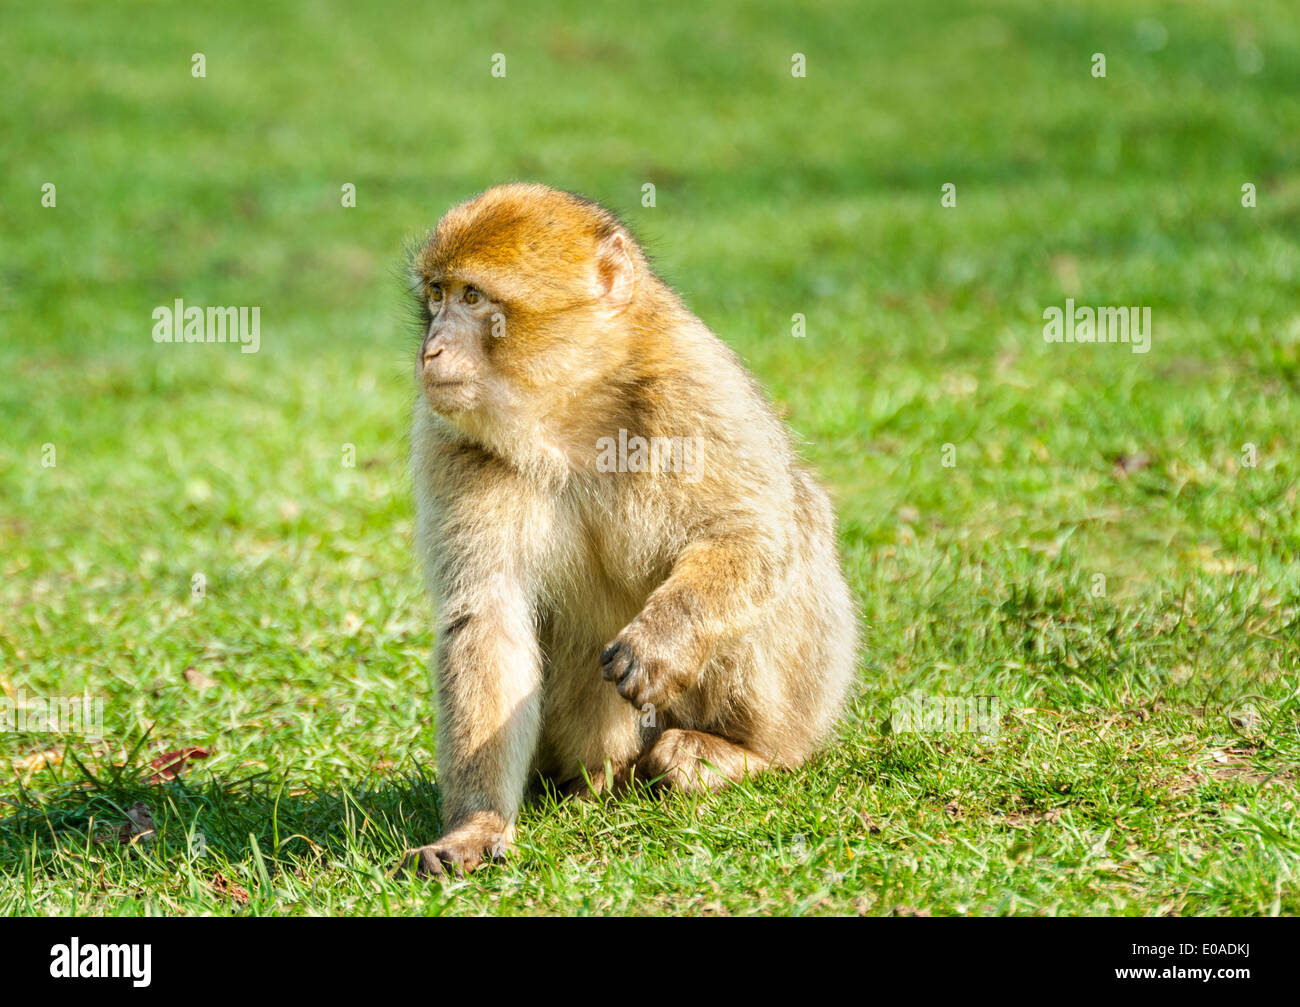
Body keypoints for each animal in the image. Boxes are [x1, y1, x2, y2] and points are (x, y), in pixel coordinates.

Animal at [404, 183, 858, 876]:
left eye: (473, 298)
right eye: (436, 295)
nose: (431, 351)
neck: (571, 413)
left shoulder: (694, 386)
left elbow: (754, 534)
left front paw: (661, 639)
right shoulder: (452, 444)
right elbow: (486, 618)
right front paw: (475, 826)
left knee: (798, 532)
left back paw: (743, 754)